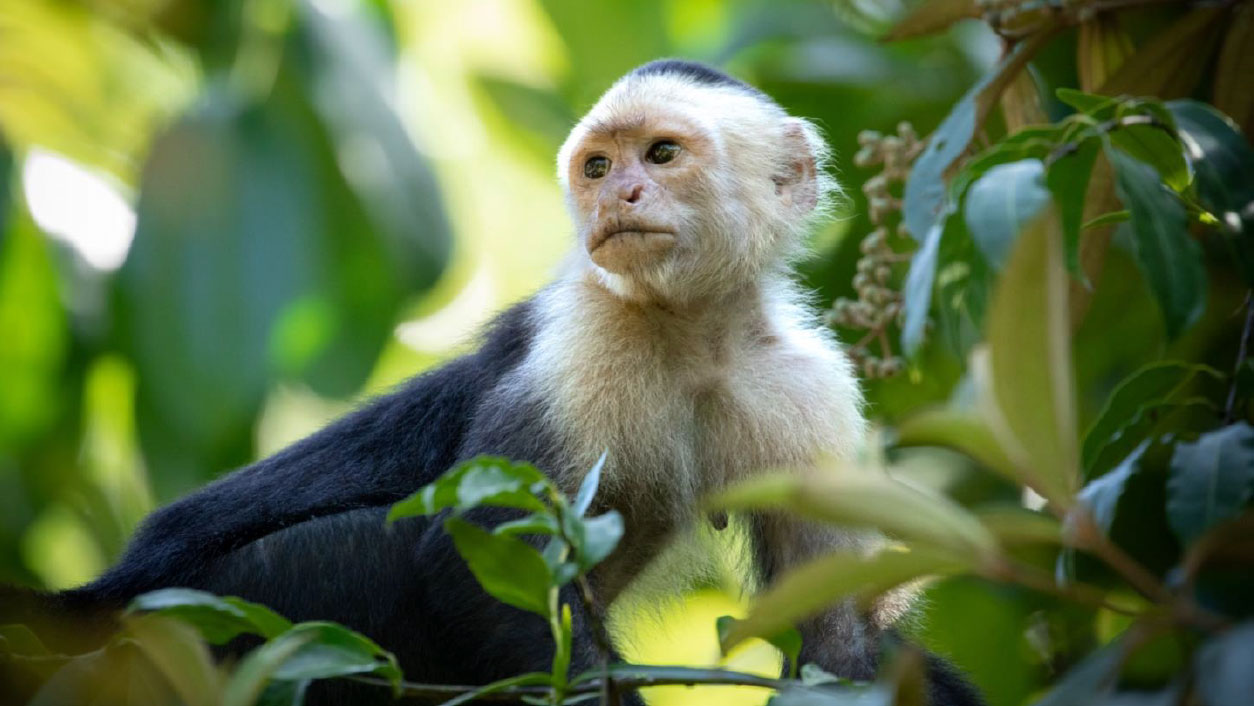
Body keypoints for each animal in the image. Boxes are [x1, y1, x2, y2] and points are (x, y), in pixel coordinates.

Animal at [5, 60, 982, 705]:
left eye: (662, 156)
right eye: (599, 167)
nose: (618, 197)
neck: (692, 332)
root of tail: (103, 601)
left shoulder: (806, 388)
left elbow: (837, 639)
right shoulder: (579, 345)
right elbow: (477, 549)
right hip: (229, 610)